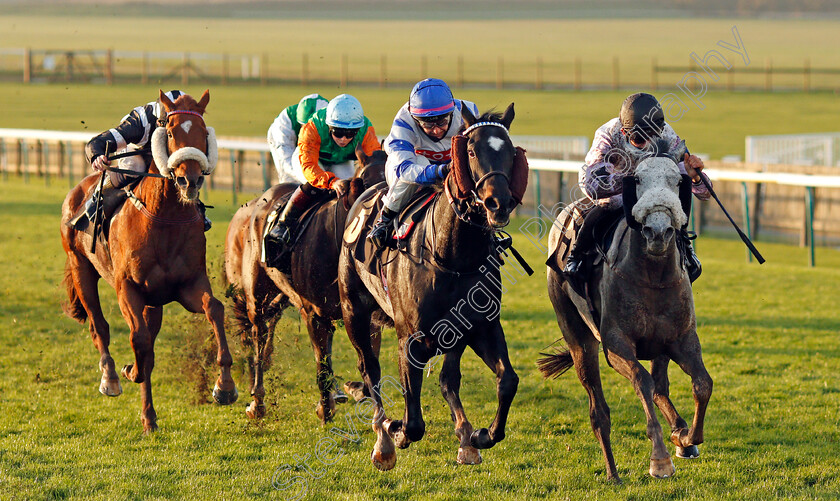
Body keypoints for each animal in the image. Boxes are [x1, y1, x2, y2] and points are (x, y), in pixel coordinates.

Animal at [60, 89, 238, 430]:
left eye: (202, 133)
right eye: (169, 132)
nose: (189, 181)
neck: (165, 217)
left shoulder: (188, 285)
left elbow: (214, 308)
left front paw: (224, 386)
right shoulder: (127, 288)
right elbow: (138, 340)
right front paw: (129, 371)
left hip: (153, 302)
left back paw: (149, 417)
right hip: (80, 266)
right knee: (99, 326)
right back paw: (111, 377)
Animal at [223, 148, 388, 422]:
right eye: (368, 187)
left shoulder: (366, 315)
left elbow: (368, 363)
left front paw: (351, 391)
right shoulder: (314, 313)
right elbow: (323, 367)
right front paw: (326, 409)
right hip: (256, 295)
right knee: (259, 335)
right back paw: (257, 401)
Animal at [338, 105, 528, 468]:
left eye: (511, 151)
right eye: (471, 151)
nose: (499, 203)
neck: (452, 256)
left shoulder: (479, 327)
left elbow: (506, 381)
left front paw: (480, 436)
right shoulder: (410, 339)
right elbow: (413, 422)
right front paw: (395, 431)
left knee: (447, 380)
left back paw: (465, 438)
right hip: (353, 311)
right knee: (370, 371)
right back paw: (382, 435)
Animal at [540, 146, 712, 482]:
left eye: (677, 182)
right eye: (638, 180)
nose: (658, 232)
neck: (653, 276)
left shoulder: (682, 339)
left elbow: (702, 384)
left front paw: (686, 438)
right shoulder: (616, 346)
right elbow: (642, 381)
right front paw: (660, 459)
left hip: (660, 346)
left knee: (661, 386)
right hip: (578, 337)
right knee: (599, 411)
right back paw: (612, 473)